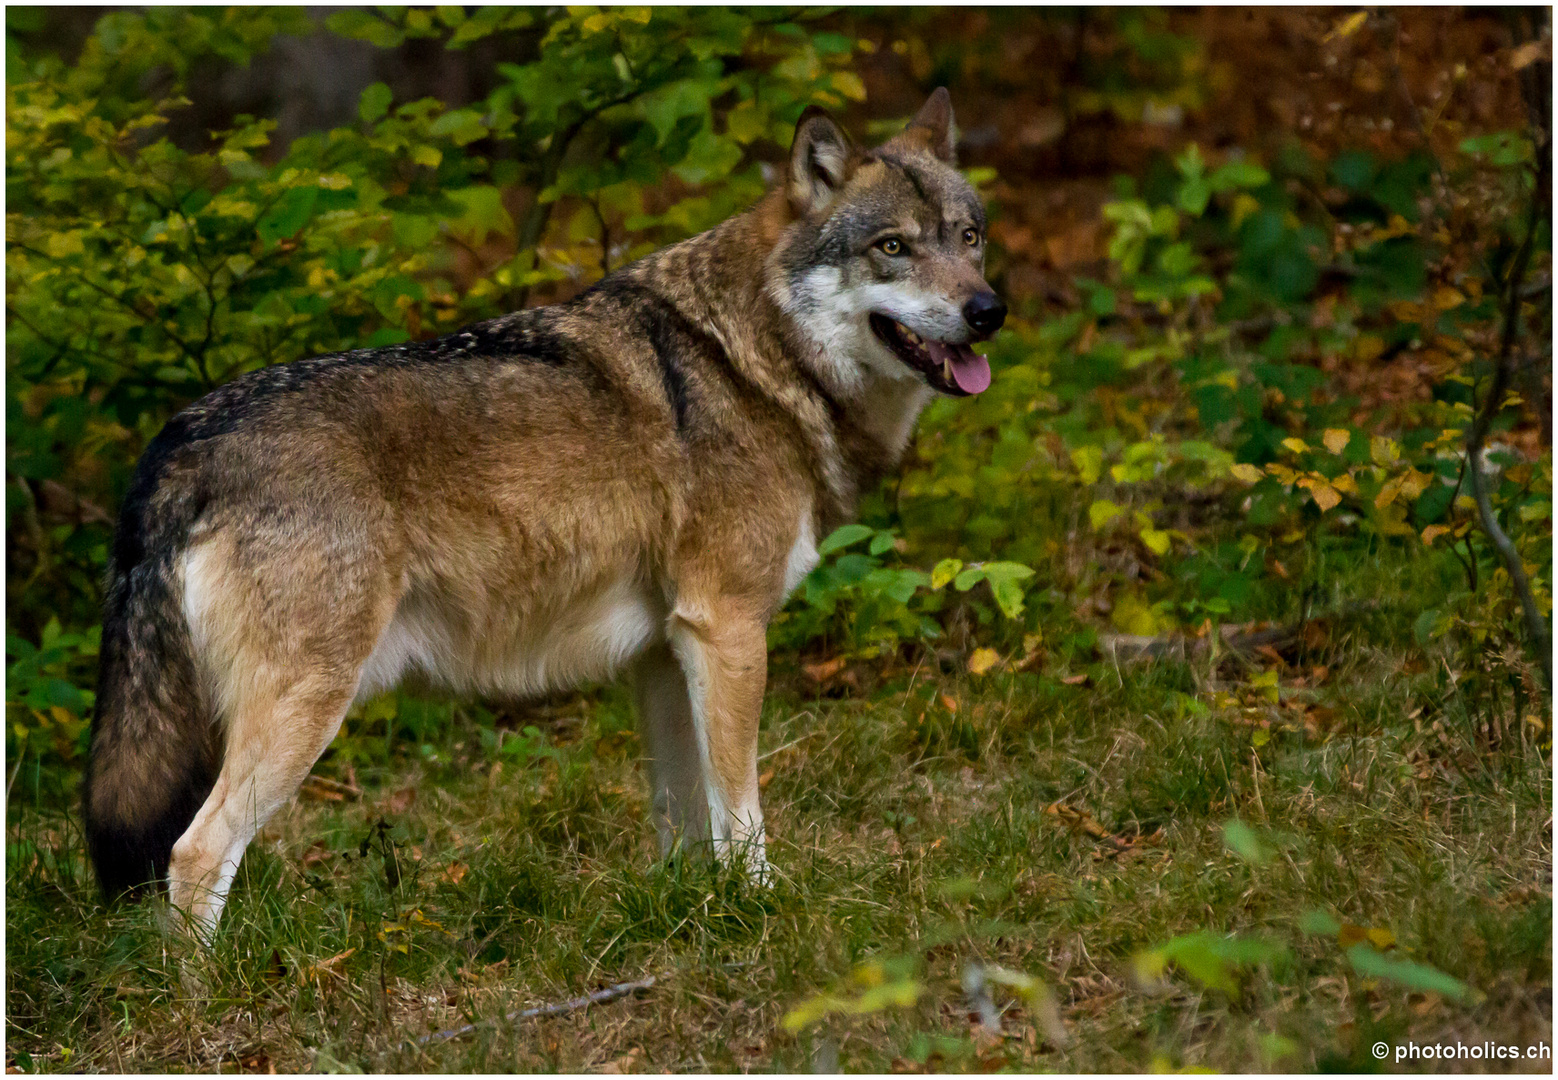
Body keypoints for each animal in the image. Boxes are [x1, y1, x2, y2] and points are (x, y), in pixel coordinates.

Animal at [85, 88, 1003, 928]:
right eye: (892, 247)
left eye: (969, 238)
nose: (989, 310)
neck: (755, 360)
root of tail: (182, 439)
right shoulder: (728, 629)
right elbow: (741, 814)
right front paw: (762, 913)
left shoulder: (665, 654)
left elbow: (683, 819)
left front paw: (693, 918)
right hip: (304, 707)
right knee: (194, 854)